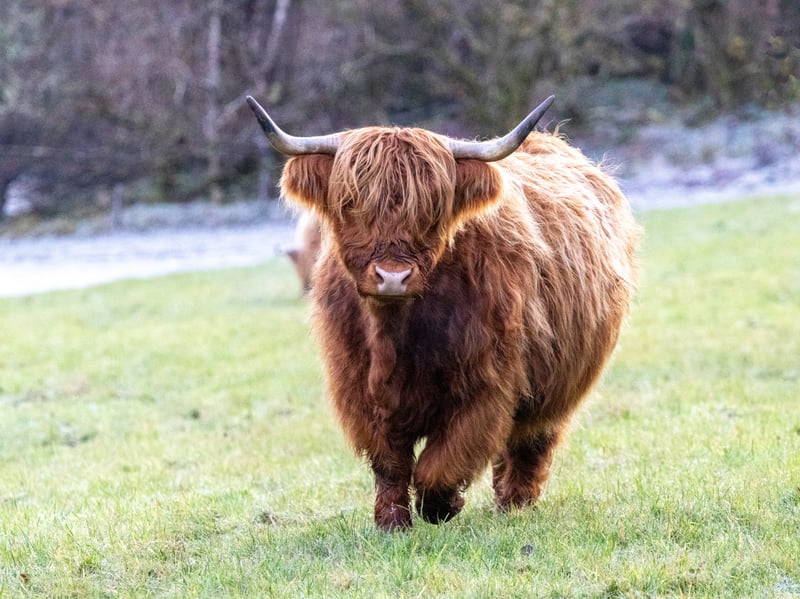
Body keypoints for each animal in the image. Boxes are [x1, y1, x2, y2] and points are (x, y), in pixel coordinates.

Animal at [247, 95, 639, 531]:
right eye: (350, 204)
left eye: (433, 211)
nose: (392, 276)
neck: (395, 333)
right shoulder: (357, 389)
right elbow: (390, 462)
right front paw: (392, 521)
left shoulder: (487, 387)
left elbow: (443, 461)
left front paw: (441, 506)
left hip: (561, 382)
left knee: (532, 441)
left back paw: (514, 502)